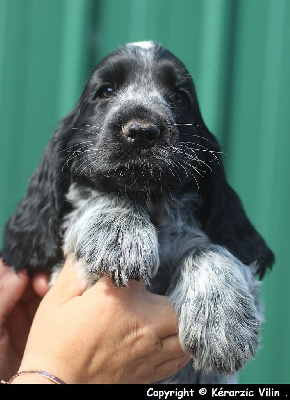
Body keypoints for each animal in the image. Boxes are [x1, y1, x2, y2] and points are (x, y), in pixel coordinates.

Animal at [1, 41, 274, 384]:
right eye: (105, 91)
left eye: (179, 97)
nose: (142, 131)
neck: (150, 202)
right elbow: (99, 193)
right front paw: (120, 236)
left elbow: (210, 249)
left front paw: (223, 324)